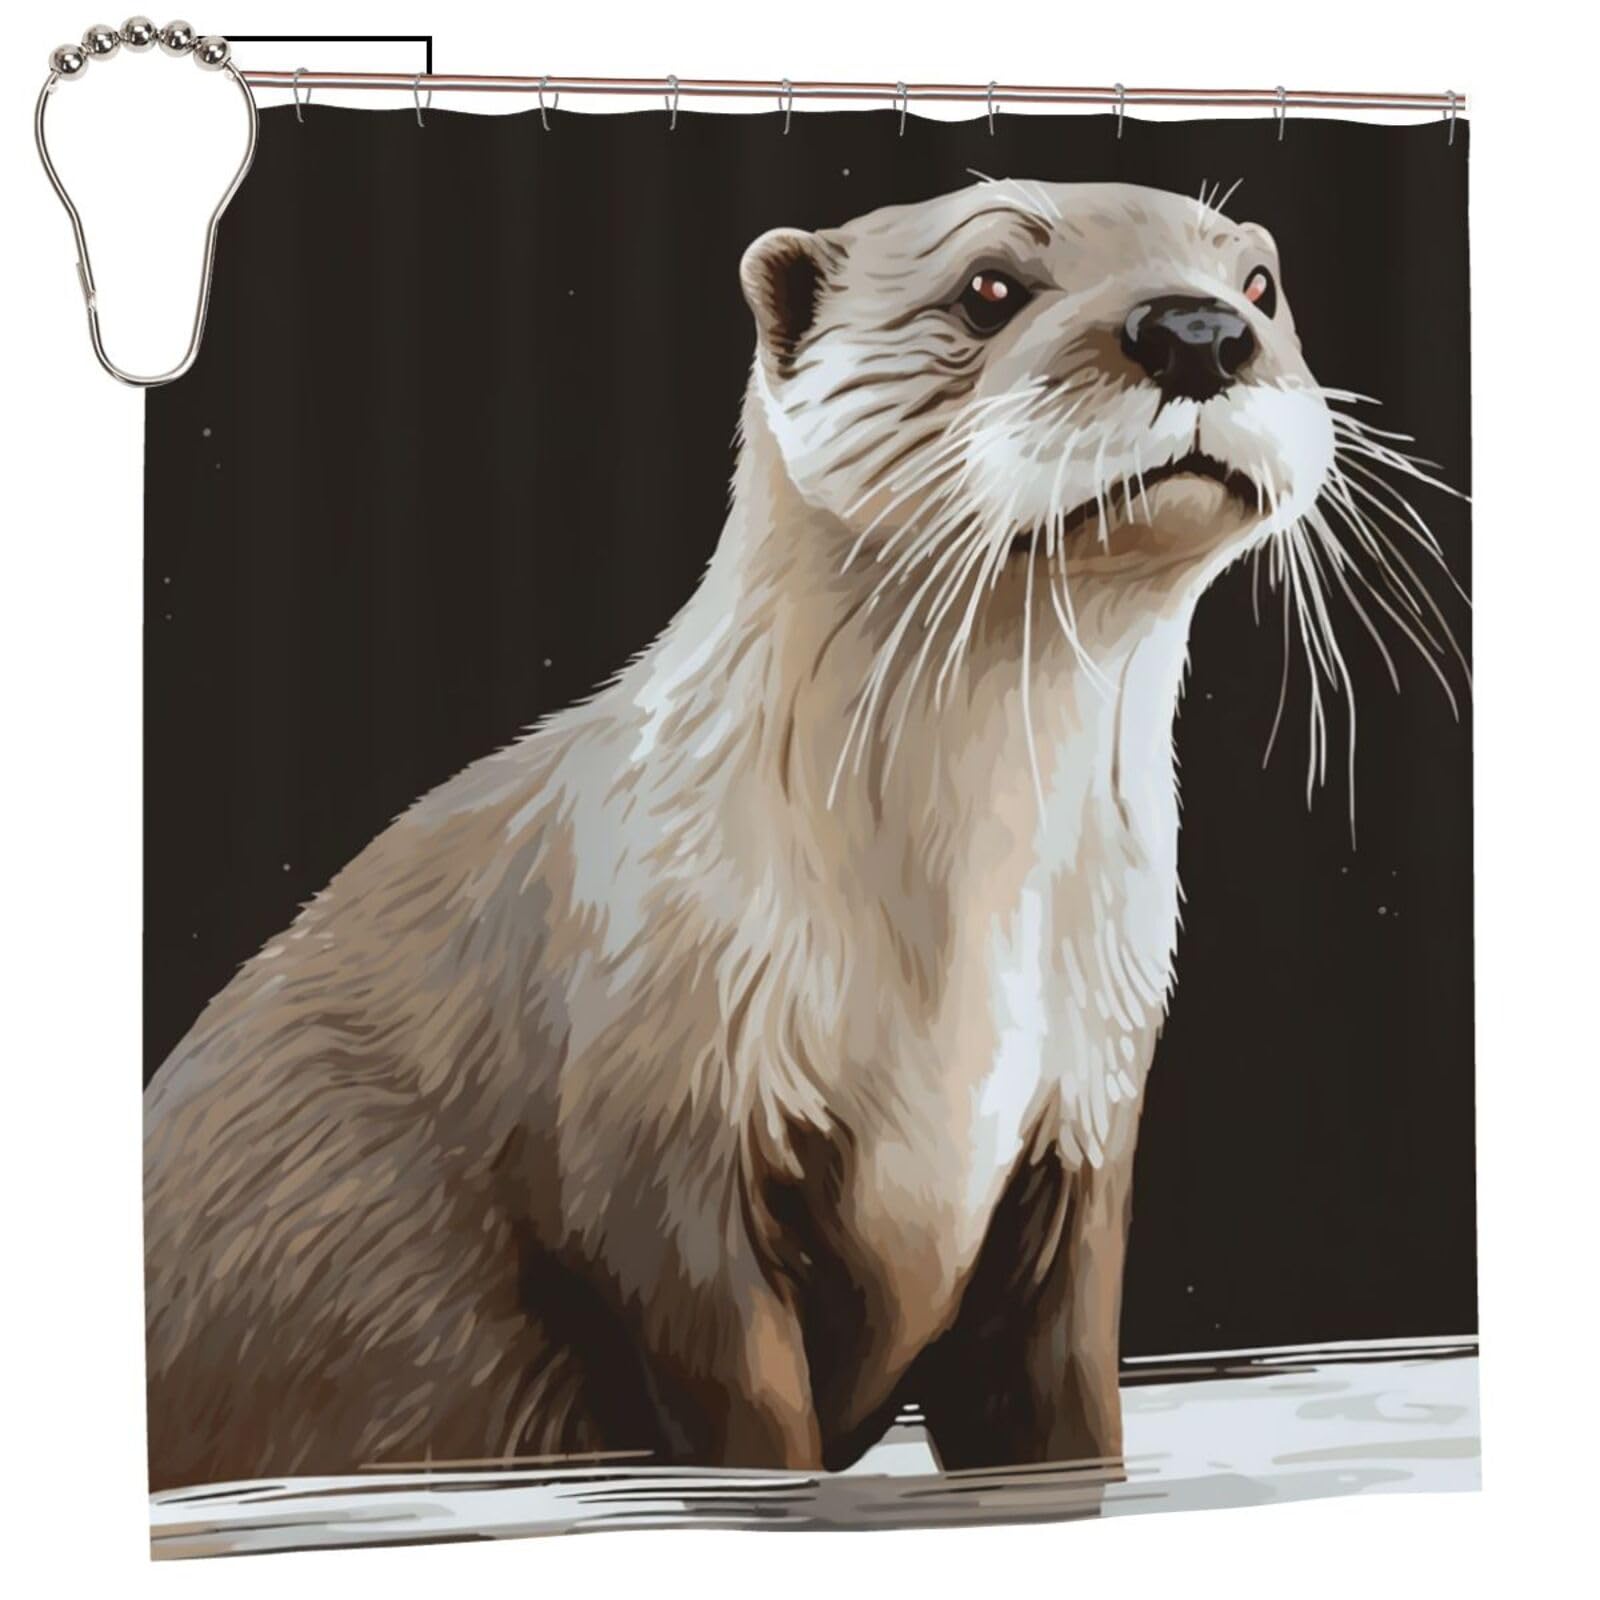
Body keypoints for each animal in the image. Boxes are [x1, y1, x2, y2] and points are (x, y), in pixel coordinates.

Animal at [146, 178, 1375, 1492]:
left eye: (1259, 284)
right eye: (989, 285)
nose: (1196, 330)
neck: (948, 961)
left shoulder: (1083, 1128)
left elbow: (1061, 1408)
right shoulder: (661, 1140)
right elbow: (741, 1407)